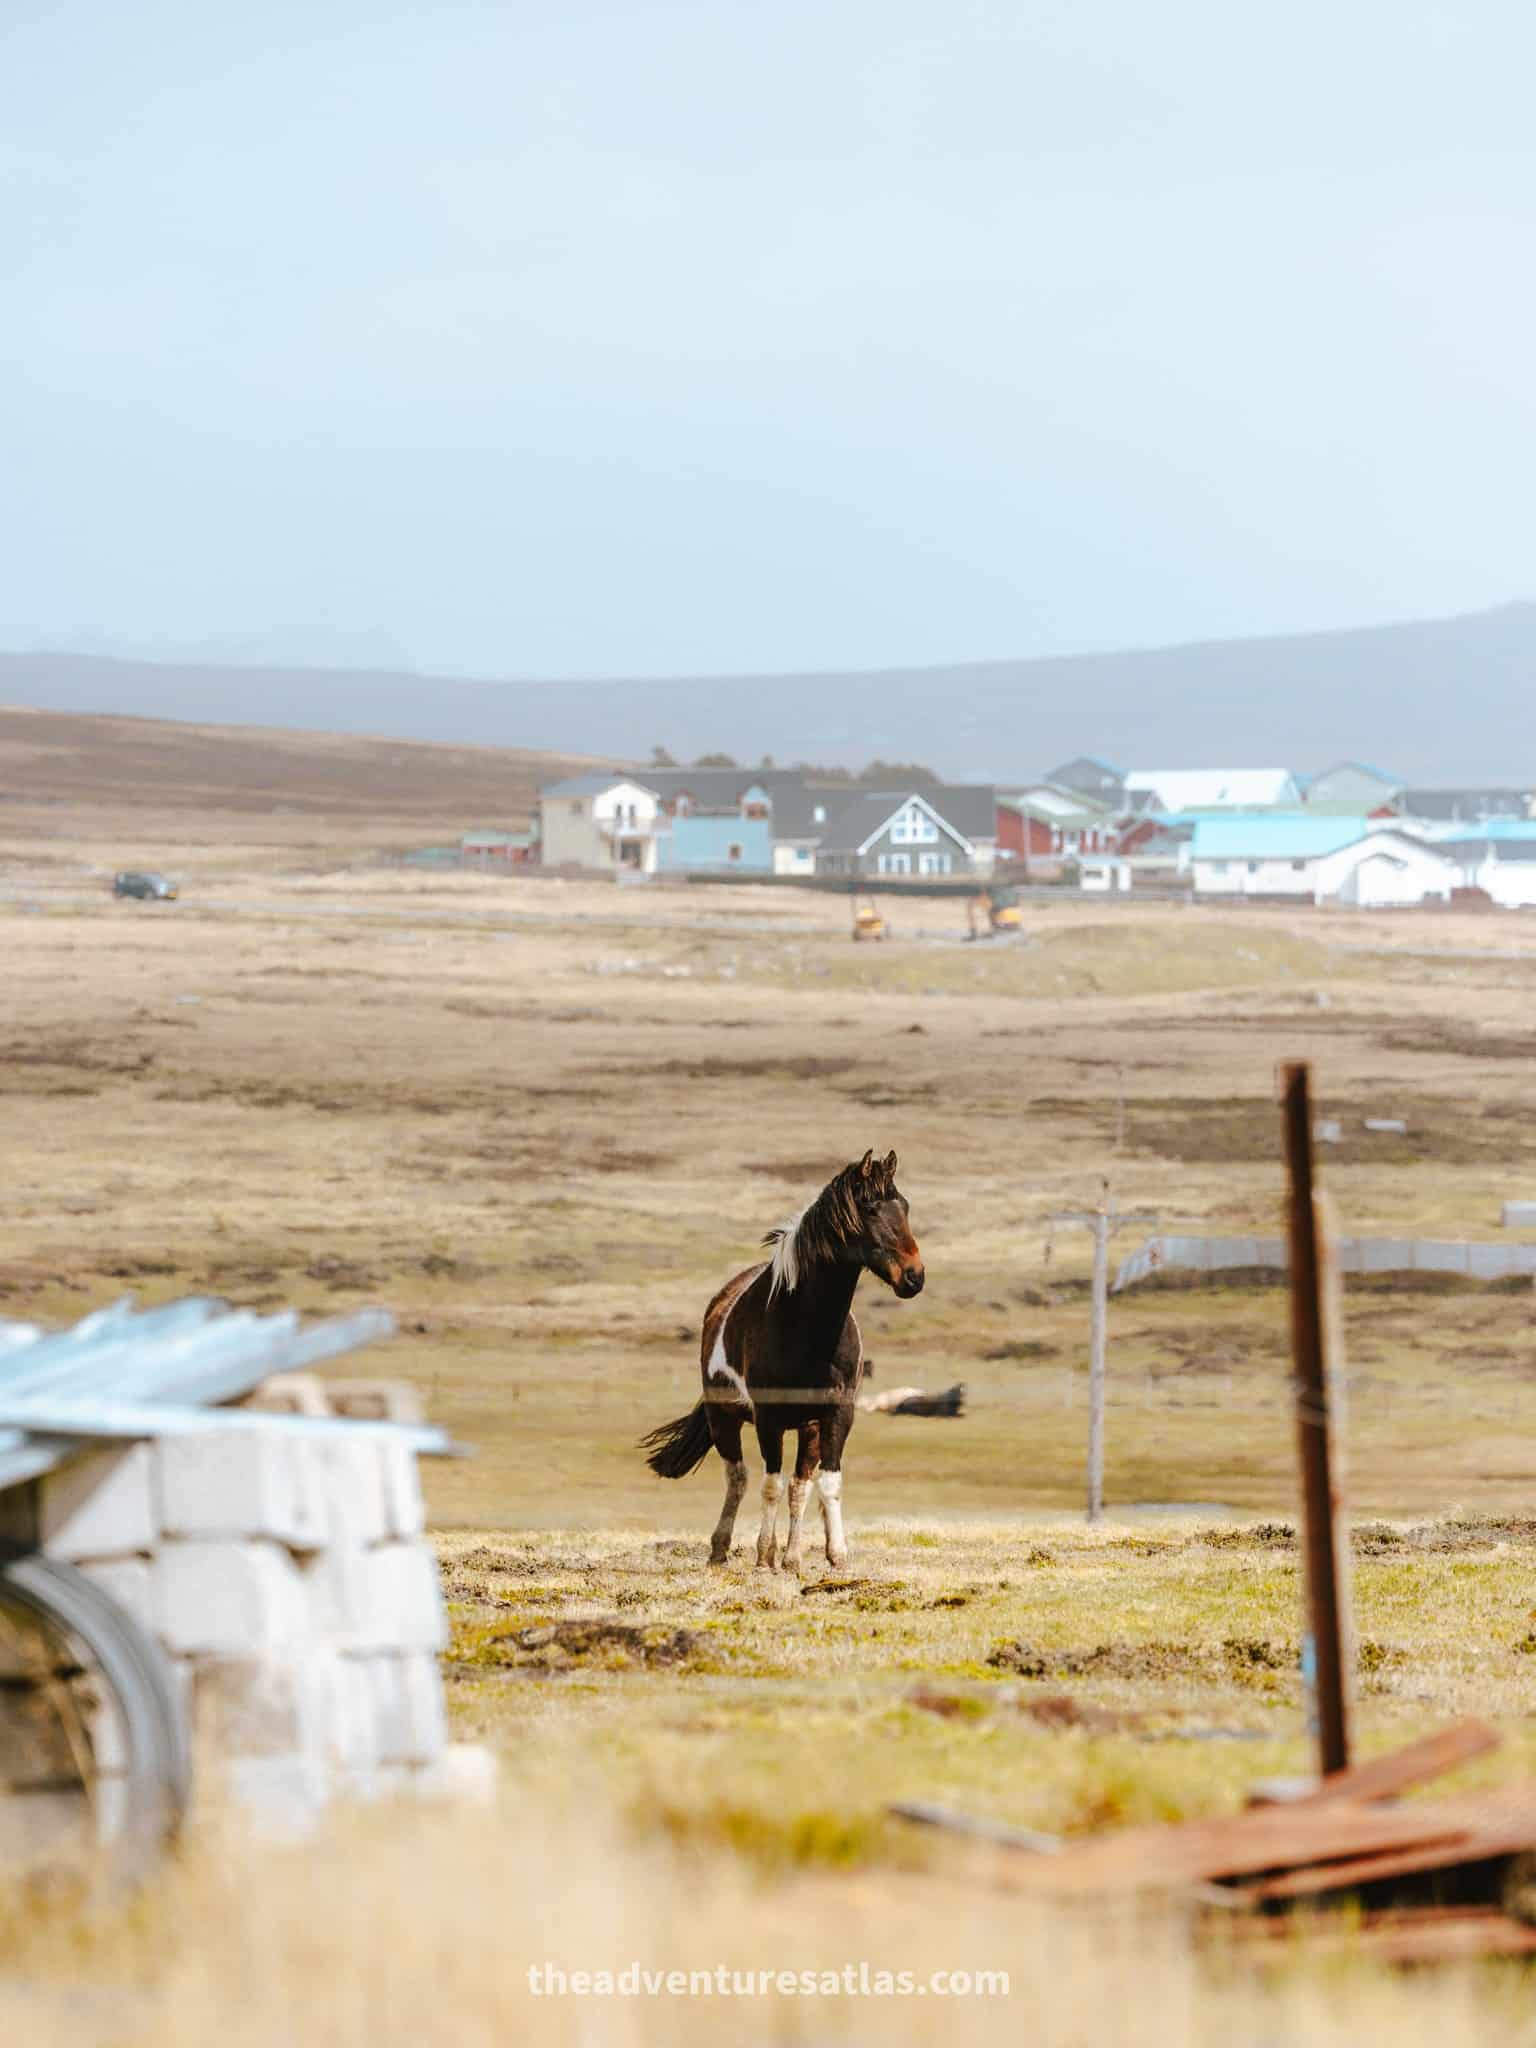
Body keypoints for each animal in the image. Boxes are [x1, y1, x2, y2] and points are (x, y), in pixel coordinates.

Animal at [639, 1150, 924, 1573]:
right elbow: (768, 1485)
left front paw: (832, 1556)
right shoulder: (768, 1418)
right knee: (738, 1478)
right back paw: (722, 1550)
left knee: (797, 1484)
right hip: (724, 1418)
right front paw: (762, 1557)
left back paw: (789, 1555)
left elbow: (824, 1483)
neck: (807, 1331)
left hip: (806, 1428)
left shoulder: (836, 1415)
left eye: (903, 1207)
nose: (914, 1277)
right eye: (871, 1209)